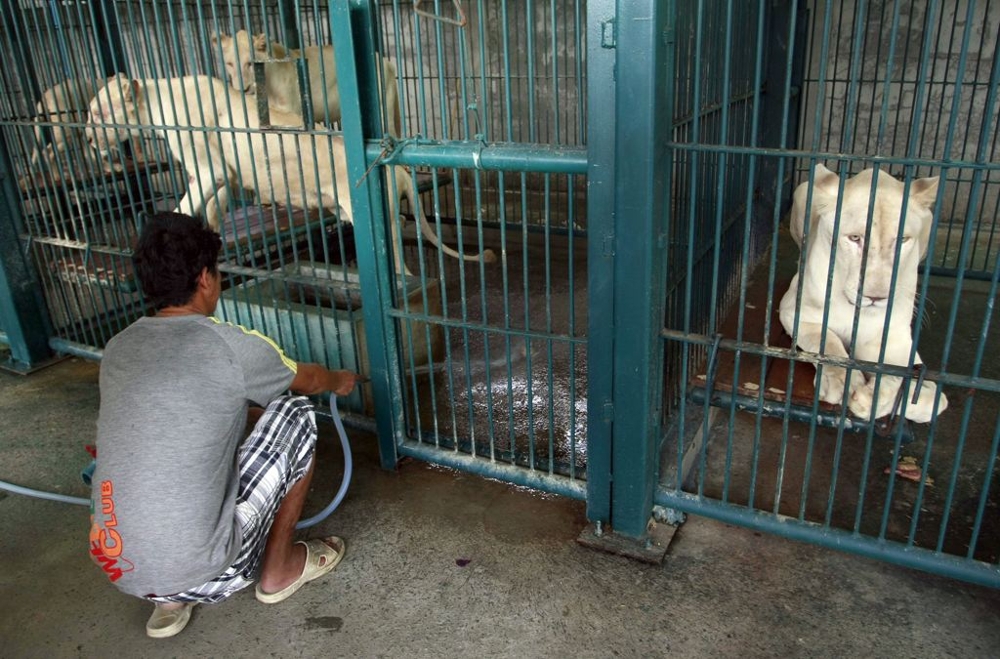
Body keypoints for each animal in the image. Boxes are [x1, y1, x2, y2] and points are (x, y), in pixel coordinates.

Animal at [776, 164, 948, 422]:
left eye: (902, 240)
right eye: (855, 238)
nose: (876, 297)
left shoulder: (894, 338)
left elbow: (929, 397)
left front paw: (874, 398)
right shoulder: (794, 312)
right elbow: (827, 343)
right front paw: (841, 383)